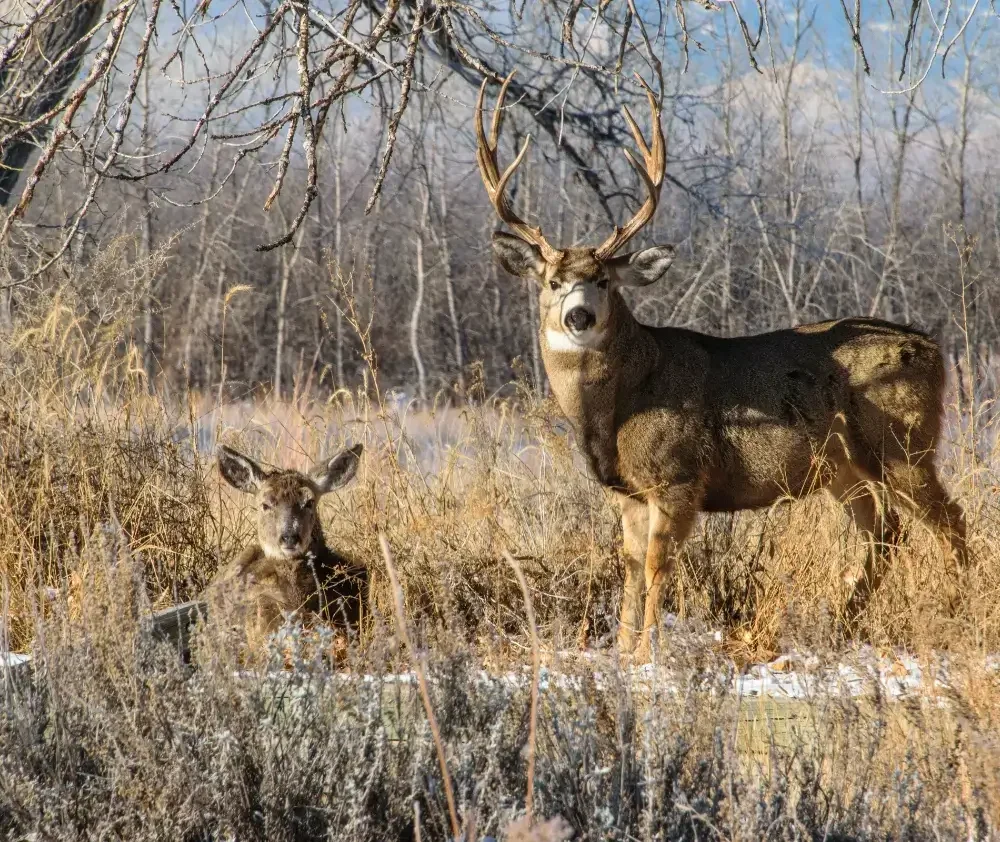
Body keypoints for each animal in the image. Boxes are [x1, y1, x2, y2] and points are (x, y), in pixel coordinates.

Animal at [475, 72, 968, 661]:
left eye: (604, 280)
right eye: (552, 281)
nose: (578, 315)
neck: (620, 404)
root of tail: (934, 350)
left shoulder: (679, 476)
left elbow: (657, 567)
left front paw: (648, 654)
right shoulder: (629, 493)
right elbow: (629, 567)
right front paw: (622, 651)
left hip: (904, 444)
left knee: (950, 522)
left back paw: (961, 612)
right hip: (844, 468)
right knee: (887, 532)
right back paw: (843, 625)